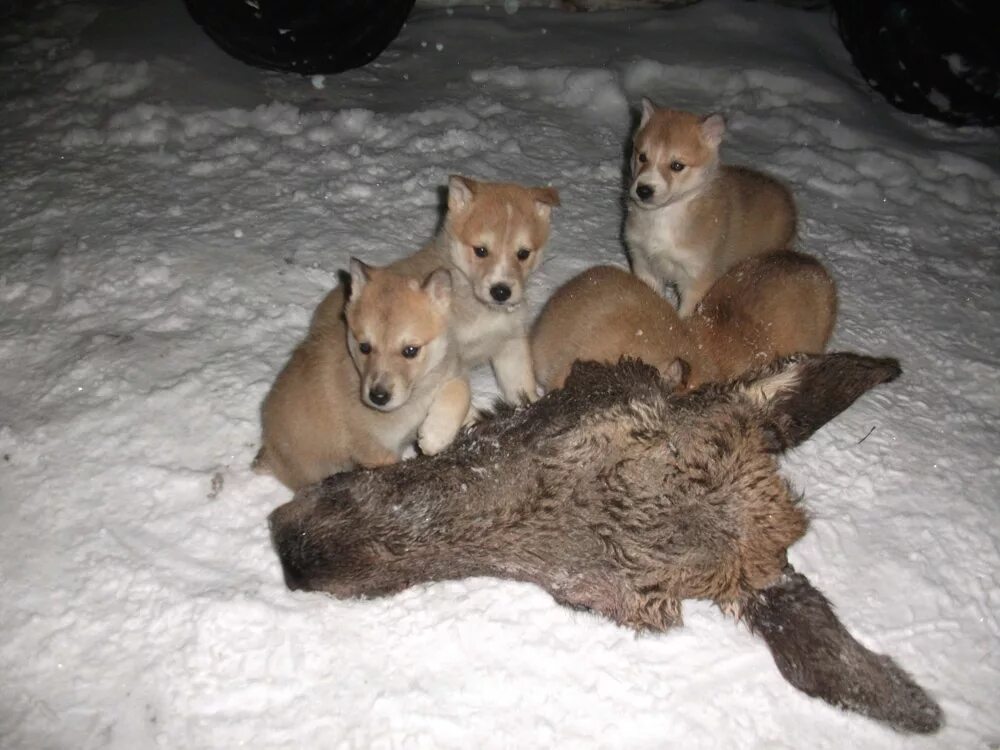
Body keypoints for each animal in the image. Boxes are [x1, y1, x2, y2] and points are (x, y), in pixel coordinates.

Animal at [254, 260, 464, 494]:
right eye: (364, 347)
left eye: (411, 350)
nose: (378, 397)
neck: (414, 397)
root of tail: (269, 451)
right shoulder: (373, 450)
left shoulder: (449, 371)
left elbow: (461, 389)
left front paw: (436, 435)